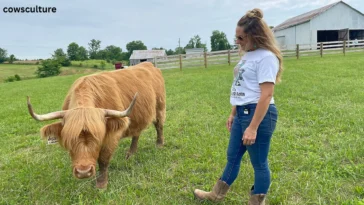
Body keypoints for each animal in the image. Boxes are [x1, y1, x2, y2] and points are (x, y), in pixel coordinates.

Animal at [27, 62, 166, 189]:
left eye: (98, 138)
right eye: (69, 139)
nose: (83, 172)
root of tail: (149, 64)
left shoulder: (111, 136)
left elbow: (103, 159)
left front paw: (101, 184)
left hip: (159, 106)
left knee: (159, 125)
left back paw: (159, 144)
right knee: (136, 133)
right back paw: (130, 153)